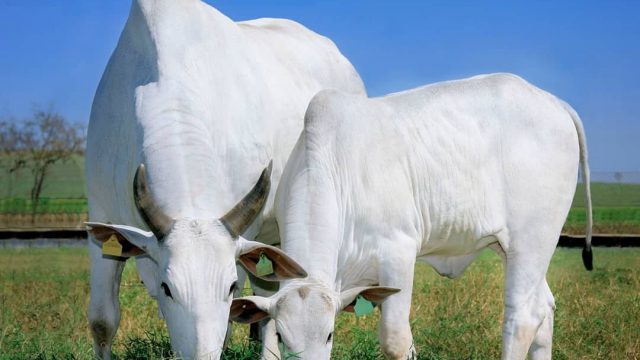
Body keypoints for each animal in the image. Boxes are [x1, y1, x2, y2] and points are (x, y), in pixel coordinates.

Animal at [231, 74, 596, 360]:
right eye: (283, 336)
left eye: (330, 334)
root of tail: (553, 102)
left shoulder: (398, 254)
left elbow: (395, 341)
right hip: (513, 248)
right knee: (544, 307)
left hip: (532, 240)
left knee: (523, 316)